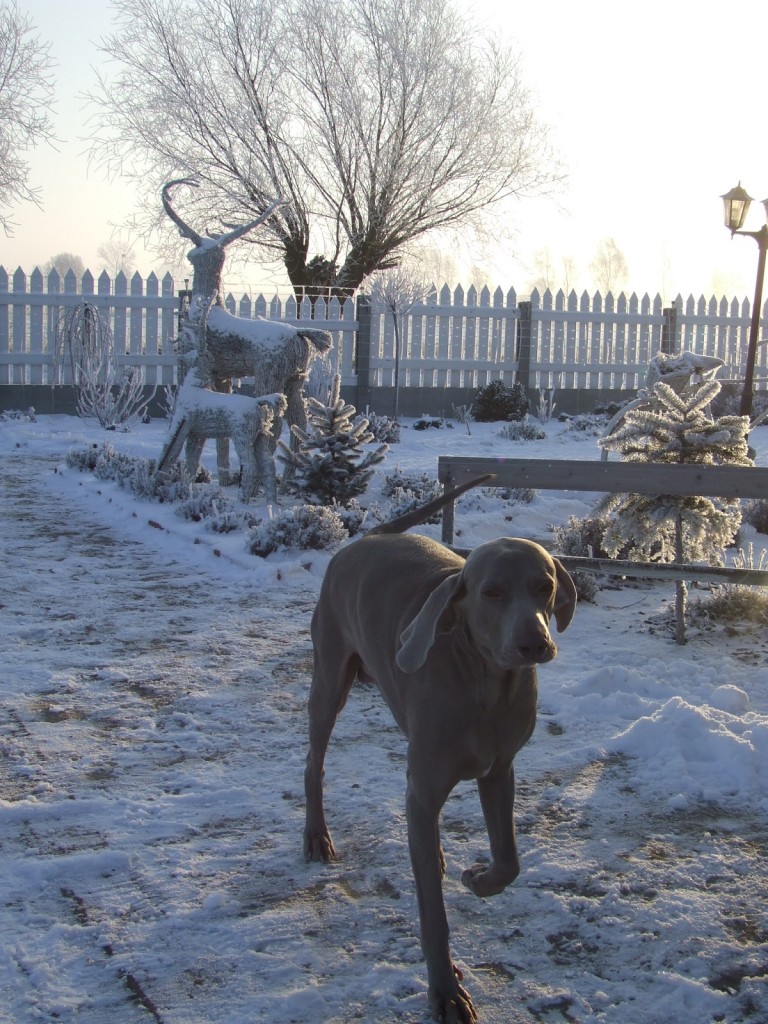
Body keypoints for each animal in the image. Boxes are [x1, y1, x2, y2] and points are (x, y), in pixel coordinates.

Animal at [303, 475, 573, 1019]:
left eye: (545, 585)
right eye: (492, 593)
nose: (534, 643)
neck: (486, 684)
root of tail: (369, 536)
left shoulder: (499, 770)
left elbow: (509, 860)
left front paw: (479, 878)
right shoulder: (424, 788)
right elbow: (433, 915)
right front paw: (445, 992)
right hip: (330, 679)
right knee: (313, 761)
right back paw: (316, 835)